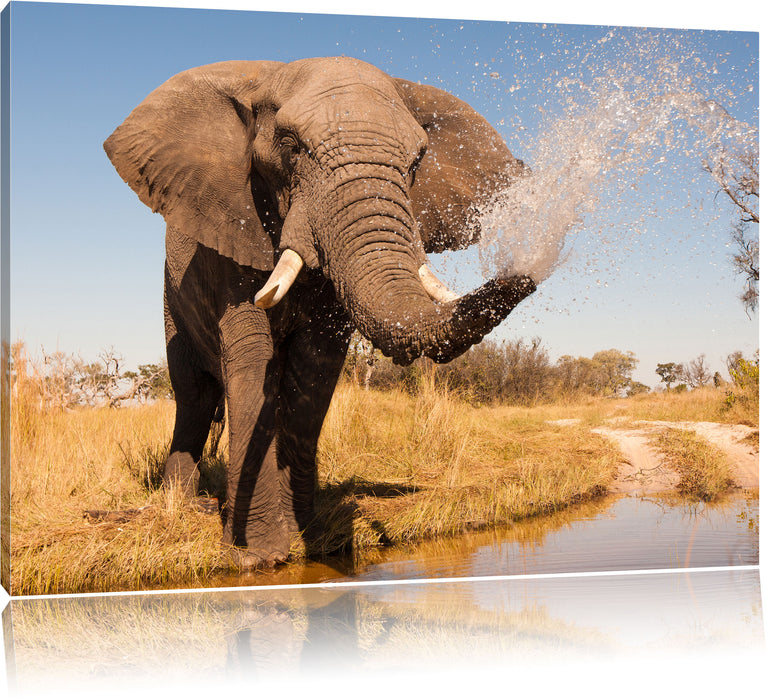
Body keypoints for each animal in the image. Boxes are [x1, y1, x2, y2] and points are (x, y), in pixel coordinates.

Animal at [104, 56, 536, 569]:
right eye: (291, 147)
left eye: (416, 162)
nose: (527, 273)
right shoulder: (234, 228)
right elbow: (252, 358)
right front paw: (257, 555)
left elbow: (316, 365)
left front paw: (306, 531)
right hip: (173, 302)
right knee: (192, 394)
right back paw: (184, 504)